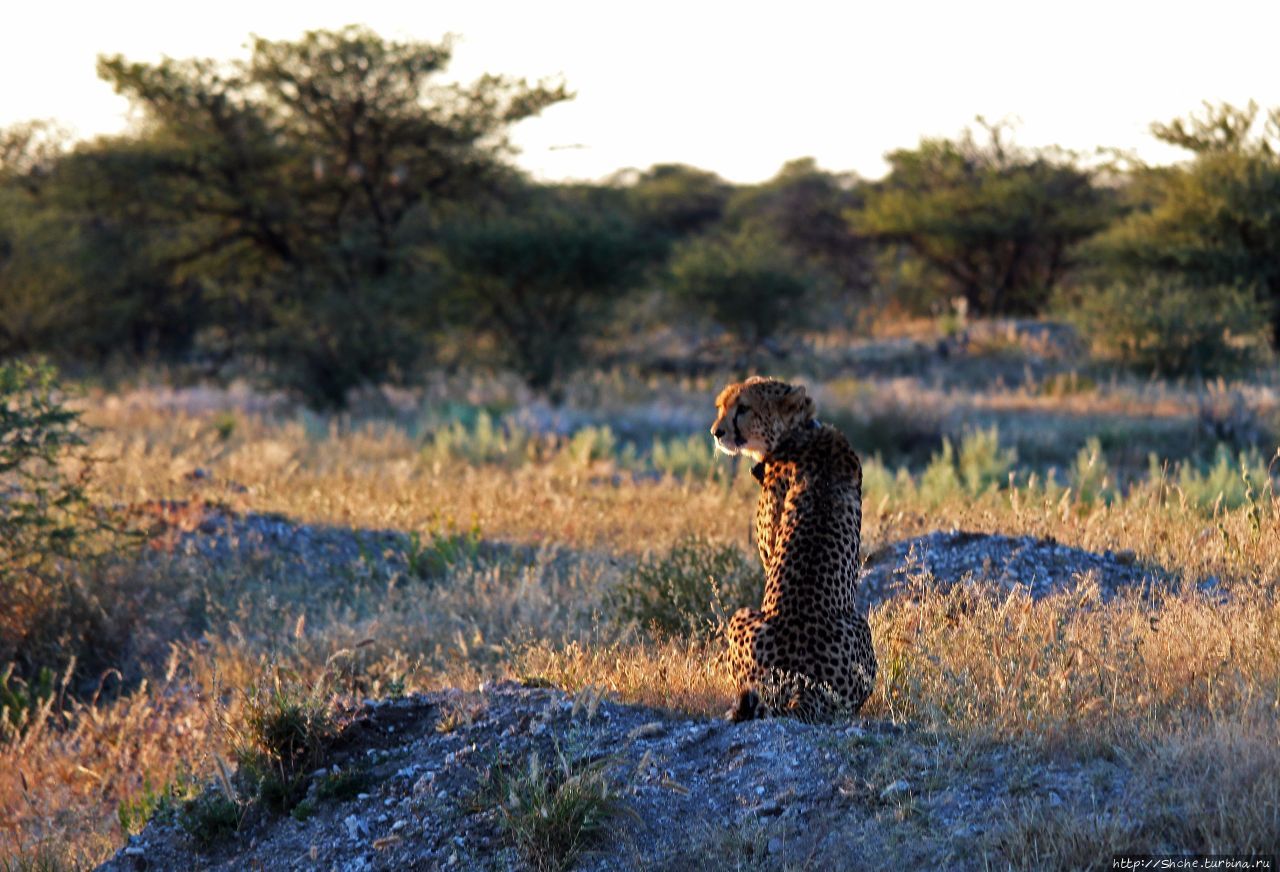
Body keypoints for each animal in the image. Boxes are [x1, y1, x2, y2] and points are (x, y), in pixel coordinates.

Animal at [711, 376, 880, 722]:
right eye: (722, 406)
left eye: (743, 408)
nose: (716, 432)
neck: (799, 433)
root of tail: (804, 684)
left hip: (742, 615)